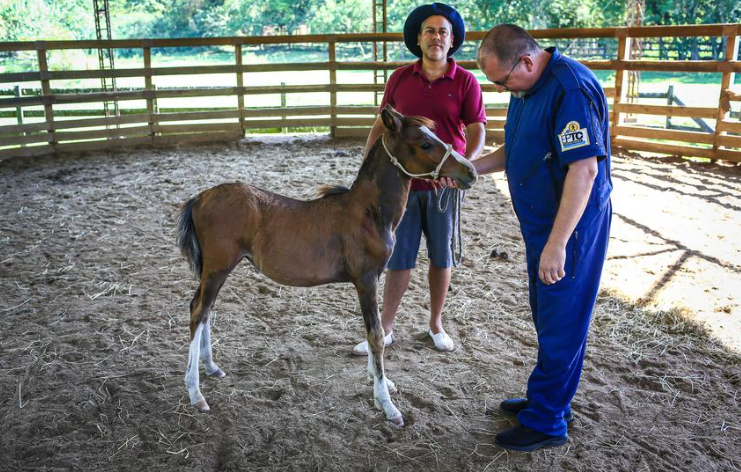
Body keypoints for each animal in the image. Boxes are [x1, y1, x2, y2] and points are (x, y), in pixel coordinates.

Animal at [180, 105, 480, 426]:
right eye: (425, 144)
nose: (470, 171)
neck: (368, 212)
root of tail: (199, 198)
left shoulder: (372, 280)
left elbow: (372, 332)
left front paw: (382, 384)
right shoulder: (366, 279)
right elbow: (375, 335)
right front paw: (387, 406)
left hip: (215, 271)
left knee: (203, 309)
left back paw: (211, 367)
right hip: (217, 268)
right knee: (199, 313)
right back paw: (196, 394)